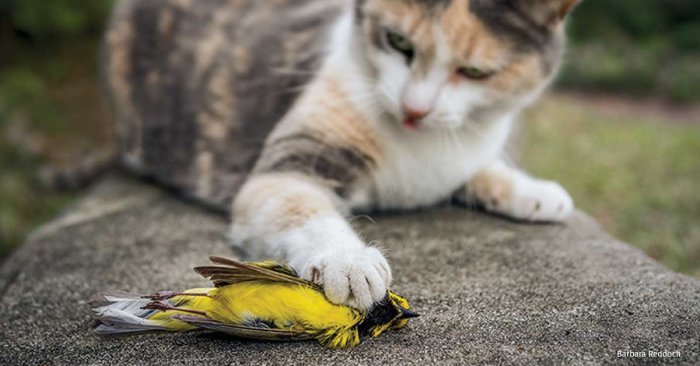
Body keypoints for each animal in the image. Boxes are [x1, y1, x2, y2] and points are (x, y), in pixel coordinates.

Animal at [105, 0, 580, 310]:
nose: (415, 110)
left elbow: (478, 168)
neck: (421, 145)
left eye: (476, 72)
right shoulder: (291, 164)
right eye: (397, 41)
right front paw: (346, 260)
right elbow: (297, 203)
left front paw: (535, 192)